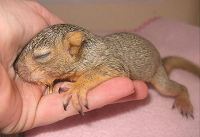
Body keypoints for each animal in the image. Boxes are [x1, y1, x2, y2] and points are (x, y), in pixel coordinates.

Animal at [14, 23, 200, 117]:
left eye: (42, 55)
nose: (15, 67)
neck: (85, 53)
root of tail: (161, 62)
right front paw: (52, 85)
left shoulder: (111, 62)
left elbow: (101, 71)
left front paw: (76, 88)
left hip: (159, 80)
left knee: (176, 87)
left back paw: (184, 101)